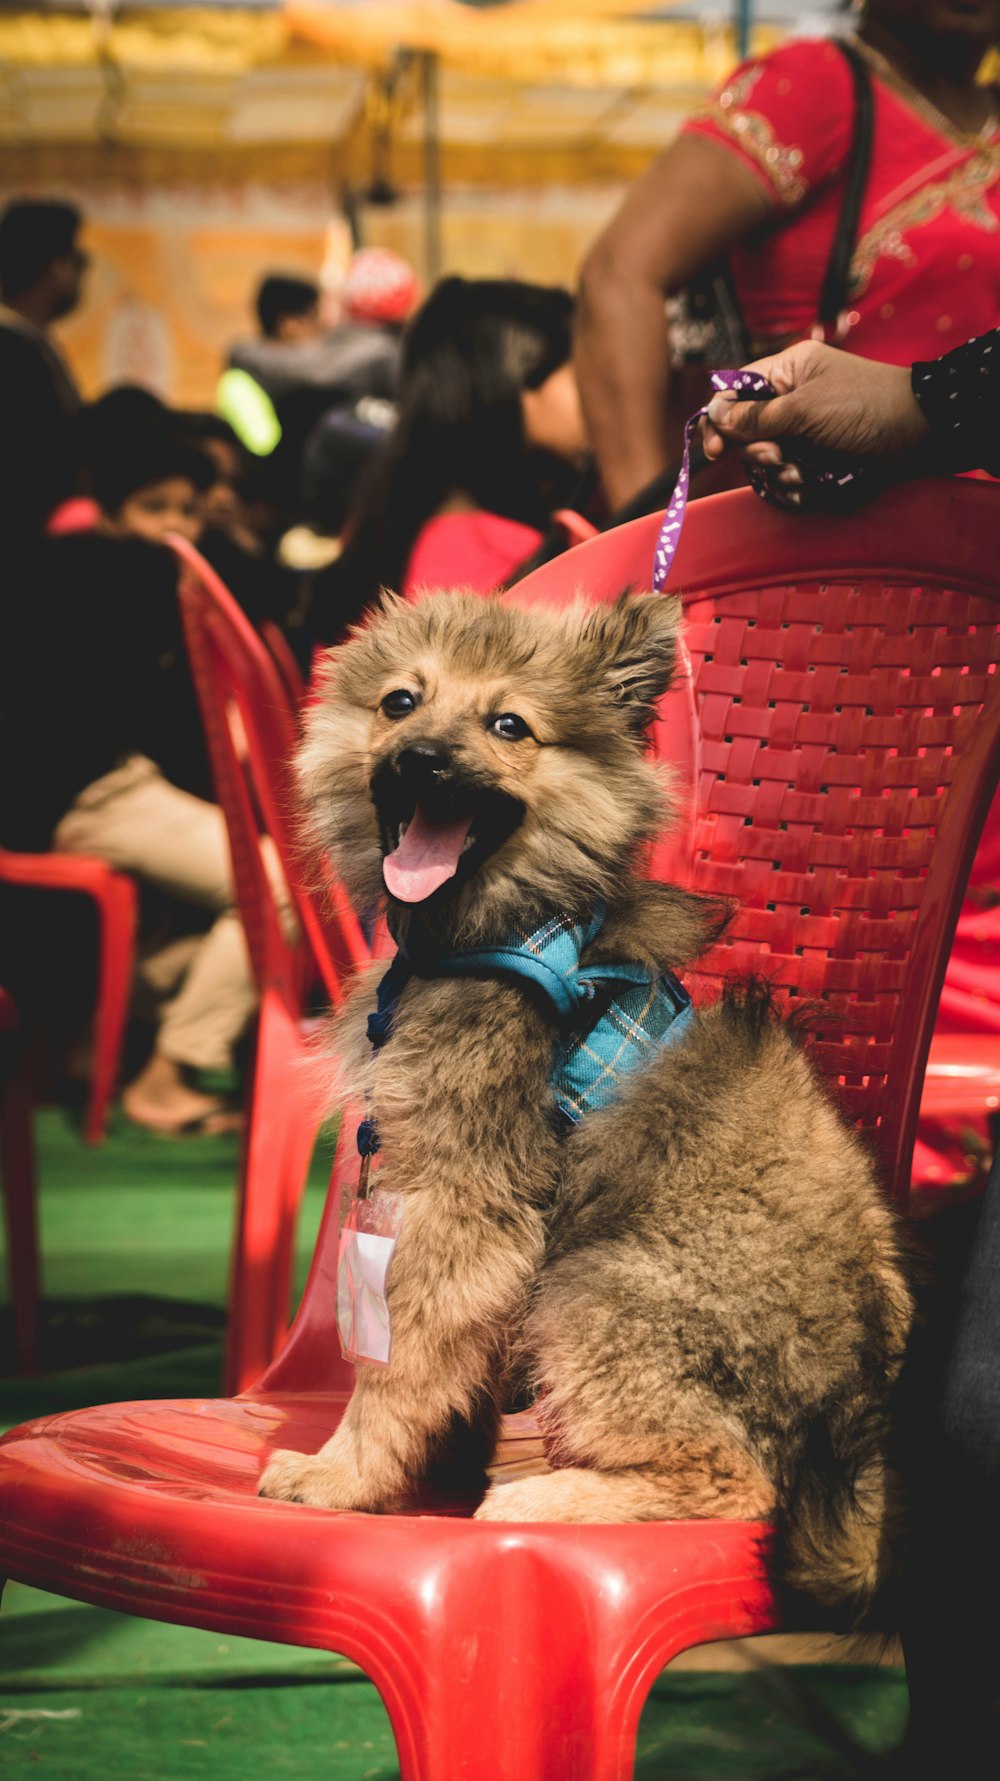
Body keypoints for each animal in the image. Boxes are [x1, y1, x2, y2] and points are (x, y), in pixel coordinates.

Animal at [258, 591, 912, 1624]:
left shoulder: (463, 1199)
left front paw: (343, 1476)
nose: (424, 757)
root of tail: (854, 1405)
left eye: (509, 725)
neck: (501, 927)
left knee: (736, 1478)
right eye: (401, 702)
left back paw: (547, 1494)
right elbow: (447, 1360)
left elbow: (396, 1363)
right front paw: (439, 1461)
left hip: (598, 1291)